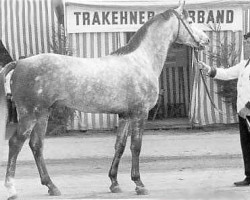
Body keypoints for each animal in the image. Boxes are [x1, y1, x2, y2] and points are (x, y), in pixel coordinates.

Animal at [0, 0, 210, 199]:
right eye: (190, 21)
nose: (206, 40)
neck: (141, 60)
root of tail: (20, 62)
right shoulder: (140, 114)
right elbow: (136, 146)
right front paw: (139, 184)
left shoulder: (125, 115)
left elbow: (120, 146)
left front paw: (114, 183)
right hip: (29, 115)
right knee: (15, 143)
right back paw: (12, 189)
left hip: (43, 114)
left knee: (36, 145)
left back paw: (52, 186)